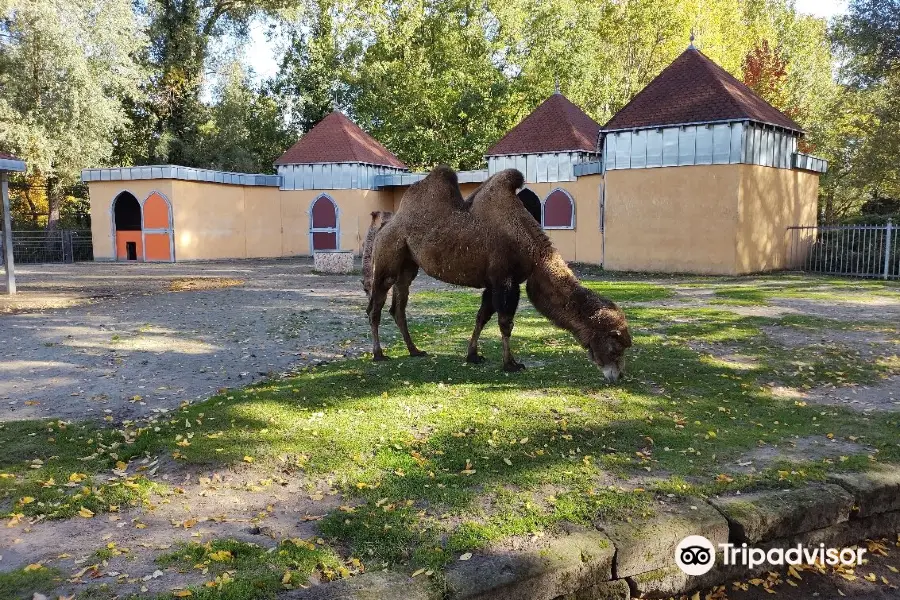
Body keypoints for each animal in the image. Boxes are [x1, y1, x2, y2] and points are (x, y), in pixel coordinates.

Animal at [362, 165, 628, 380]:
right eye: (615, 346)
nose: (618, 376)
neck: (533, 252)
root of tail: (385, 225)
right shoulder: (505, 279)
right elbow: (505, 322)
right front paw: (511, 363)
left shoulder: (493, 282)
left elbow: (482, 317)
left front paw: (473, 355)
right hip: (387, 256)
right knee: (375, 306)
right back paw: (379, 354)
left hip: (408, 265)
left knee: (398, 306)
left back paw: (414, 350)